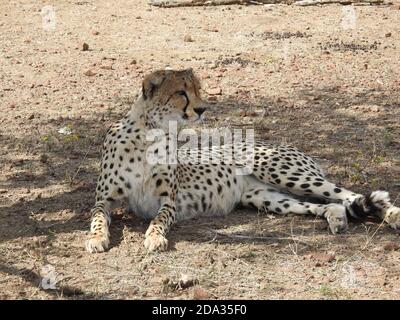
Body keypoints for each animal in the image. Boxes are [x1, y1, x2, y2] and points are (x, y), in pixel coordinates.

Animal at [86, 68, 400, 252]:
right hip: (266, 198)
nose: (202, 109)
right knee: (328, 204)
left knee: (348, 194)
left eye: (198, 89)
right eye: (180, 93)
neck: (148, 135)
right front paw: (96, 238)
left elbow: (159, 220)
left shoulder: (168, 201)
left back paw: (393, 216)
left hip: (282, 172)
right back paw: (336, 218)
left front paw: (153, 237)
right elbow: (97, 218)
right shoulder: (105, 199)